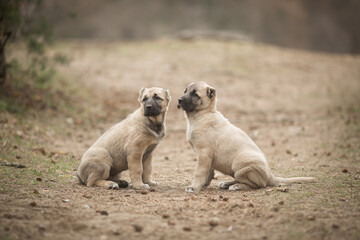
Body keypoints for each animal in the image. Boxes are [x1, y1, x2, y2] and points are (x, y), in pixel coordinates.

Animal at [178, 81, 316, 192]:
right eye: (185, 91)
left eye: (195, 94)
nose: (179, 100)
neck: (203, 114)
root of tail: (270, 175)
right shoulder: (207, 157)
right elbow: (209, 172)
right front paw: (204, 184)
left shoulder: (204, 154)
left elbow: (199, 173)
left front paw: (194, 187)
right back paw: (228, 183)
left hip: (239, 163)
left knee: (258, 184)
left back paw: (237, 186)